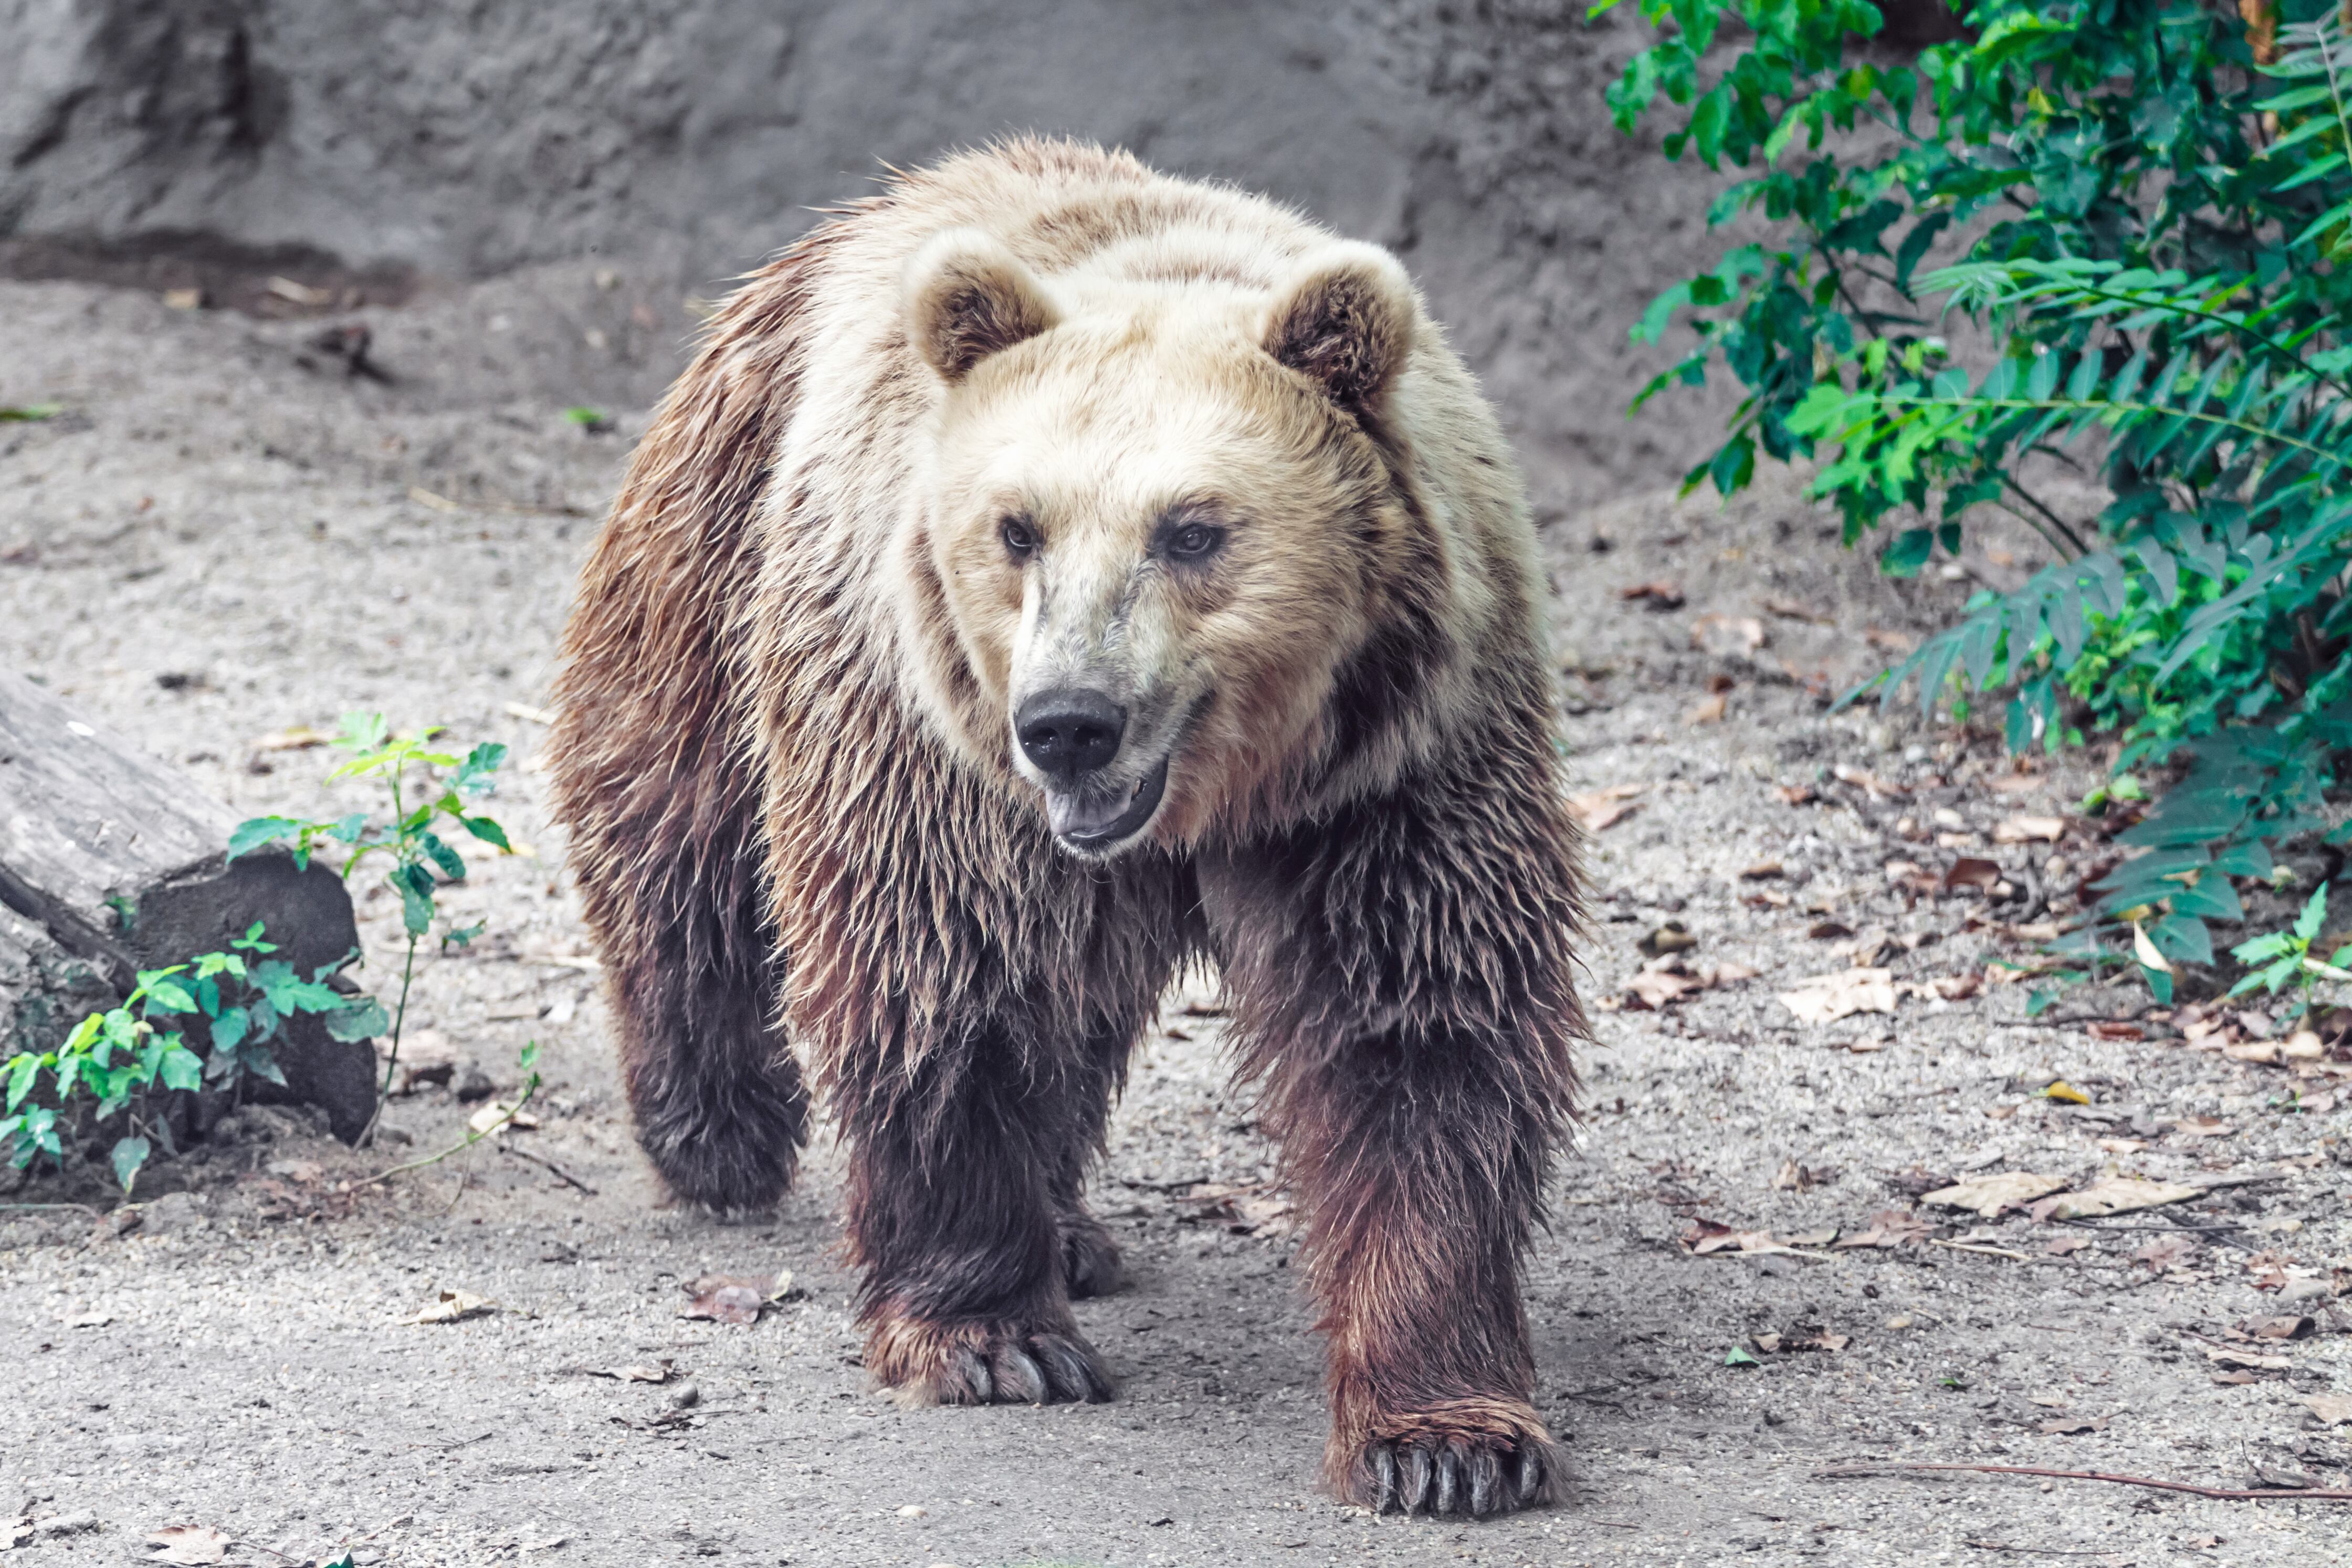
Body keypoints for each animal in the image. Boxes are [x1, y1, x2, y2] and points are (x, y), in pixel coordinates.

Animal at [549, 137, 1584, 1518]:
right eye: (1017, 526)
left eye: (1194, 528)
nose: (1069, 722)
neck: (1230, 793)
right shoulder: (941, 749)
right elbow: (949, 973)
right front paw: (992, 1332)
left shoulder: (1396, 770)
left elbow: (1419, 1023)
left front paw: (1446, 1433)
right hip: (722, 539)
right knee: (678, 827)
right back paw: (716, 1129)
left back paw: (1071, 1226)